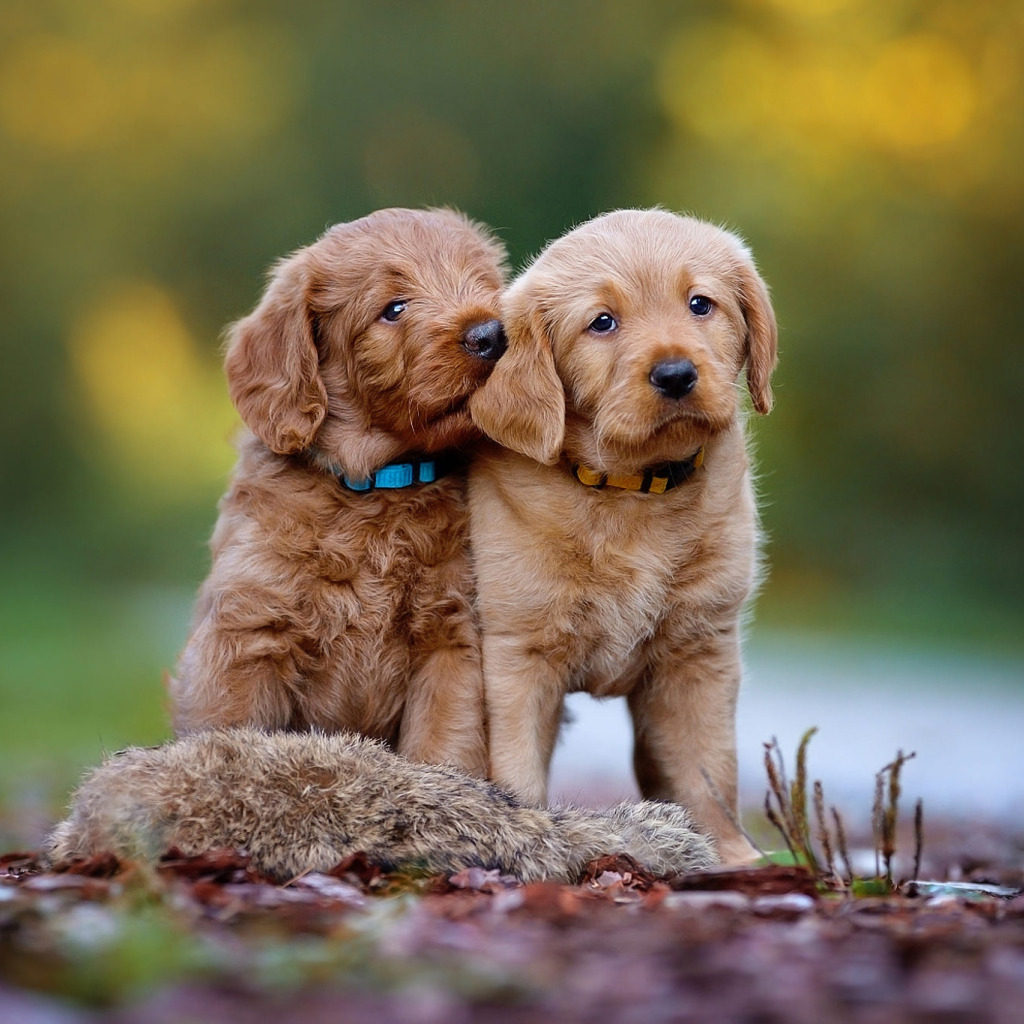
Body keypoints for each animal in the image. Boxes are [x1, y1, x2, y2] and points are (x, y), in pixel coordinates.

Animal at [167, 205, 507, 774]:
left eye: (486, 288)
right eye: (393, 308)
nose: (491, 334)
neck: (377, 488)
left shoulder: (451, 642)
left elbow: (445, 748)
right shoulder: (246, 636)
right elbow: (232, 731)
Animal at [468, 207, 778, 864]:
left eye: (700, 304)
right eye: (602, 322)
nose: (676, 374)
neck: (632, 491)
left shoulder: (701, 650)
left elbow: (709, 769)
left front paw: (731, 857)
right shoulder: (516, 655)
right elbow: (516, 768)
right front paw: (531, 838)